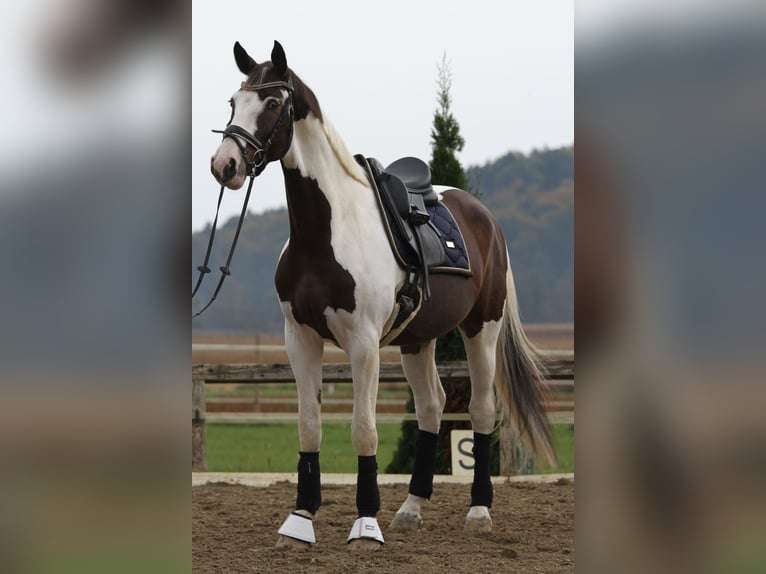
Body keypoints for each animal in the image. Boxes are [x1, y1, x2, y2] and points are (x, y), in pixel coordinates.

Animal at [209, 40, 555, 549]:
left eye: (272, 103)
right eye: (234, 102)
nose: (224, 165)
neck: (325, 232)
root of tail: (483, 215)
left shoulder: (364, 343)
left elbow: (364, 432)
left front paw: (365, 525)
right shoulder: (299, 339)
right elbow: (309, 427)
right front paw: (300, 520)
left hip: (481, 329)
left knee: (480, 410)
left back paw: (478, 511)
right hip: (418, 340)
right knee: (431, 408)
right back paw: (411, 509)